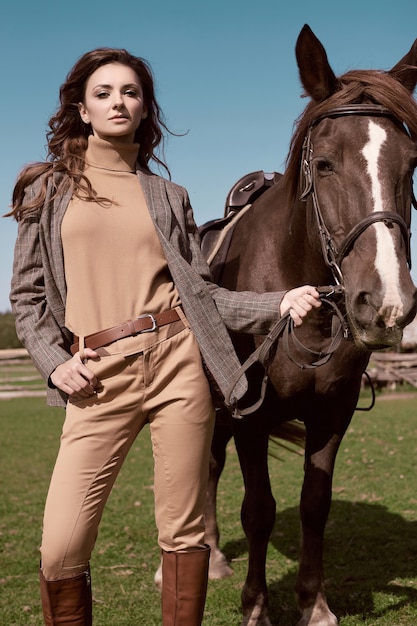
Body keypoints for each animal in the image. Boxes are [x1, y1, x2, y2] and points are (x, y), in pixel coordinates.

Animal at [198, 23, 416, 624]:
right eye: (324, 164)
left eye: (411, 164)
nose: (386, 301)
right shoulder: (248, 415)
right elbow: (259, 509)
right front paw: (256, 607)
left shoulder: (332, 413)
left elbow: (314, 506)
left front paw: (315, 605)